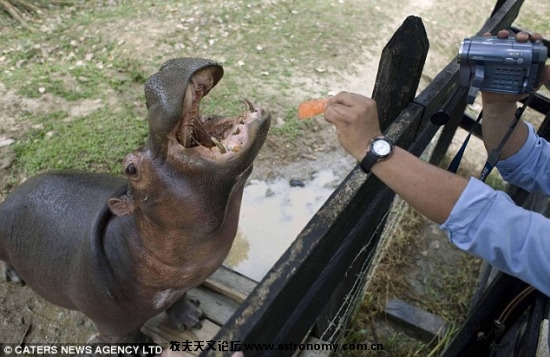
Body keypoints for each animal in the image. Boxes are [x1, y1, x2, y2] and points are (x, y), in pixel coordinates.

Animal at [0, 57, 272, 344]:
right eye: (130, 169)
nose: (163, 69)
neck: (133, 242)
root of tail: (12, 193)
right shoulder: (115, 327)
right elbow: (128, 339)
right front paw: (145, 346)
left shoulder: (179, 287)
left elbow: (179, 299)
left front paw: (192, 318)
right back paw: (14, 276)